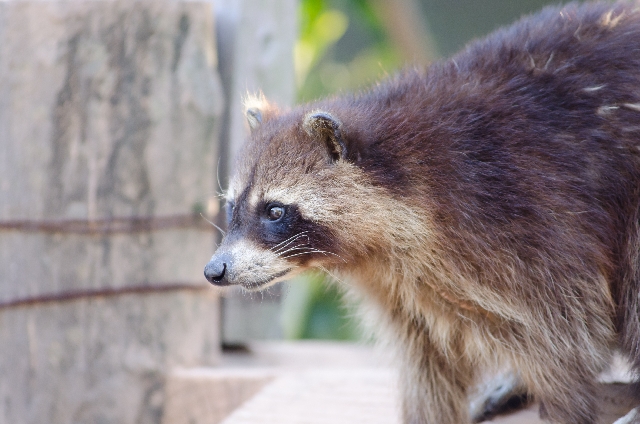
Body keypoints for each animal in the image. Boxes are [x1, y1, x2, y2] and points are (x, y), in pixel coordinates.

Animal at [205, 1, 640, 422]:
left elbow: (571, 338)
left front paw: (567, 405)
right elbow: (429, 365)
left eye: (275, 211)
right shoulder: (406, 290)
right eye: (232, 206)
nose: (215, 270)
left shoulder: (527, 219)